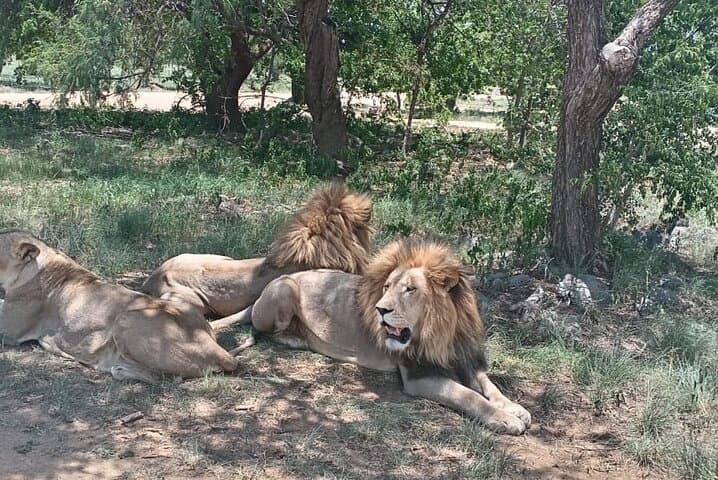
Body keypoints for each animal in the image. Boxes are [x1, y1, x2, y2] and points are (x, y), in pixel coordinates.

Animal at [215, 238, 532, 434]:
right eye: (387, 286)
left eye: (410, 290)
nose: (380, 309)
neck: (442, 331)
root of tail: (260, 297)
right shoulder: (419, 375)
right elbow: (468, 395)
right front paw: (503, 419)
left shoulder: (463, 357)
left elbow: (489, 386)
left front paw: (515, 408)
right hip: (285, 289)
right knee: (265, 331)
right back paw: (298, 338)